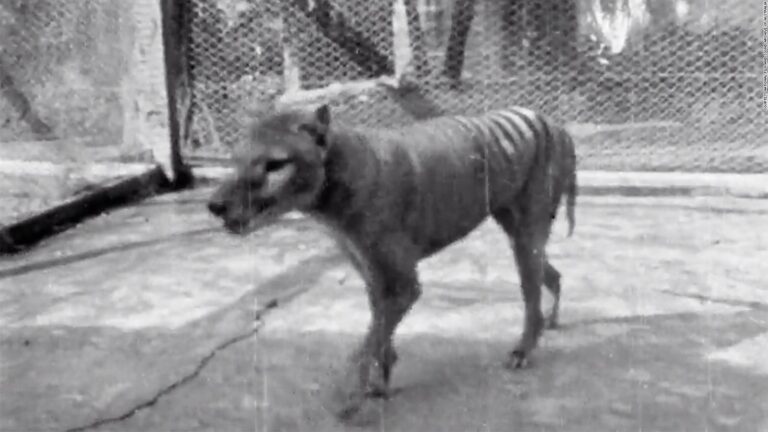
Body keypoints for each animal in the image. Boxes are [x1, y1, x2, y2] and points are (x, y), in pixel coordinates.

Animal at [207, 103, 577, 420]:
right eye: (236, 159)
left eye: (274, 164)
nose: (215, 205)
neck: (339, 180)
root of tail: (551, 121)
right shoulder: (374, 275)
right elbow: (378, 331)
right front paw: (381, 380)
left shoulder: (403, 285)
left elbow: (366, 344)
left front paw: (351, 397)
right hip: (517, 231)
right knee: (554, 276)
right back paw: (552, 321)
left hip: (526, 238)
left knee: (533, 298)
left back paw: (524, 349)